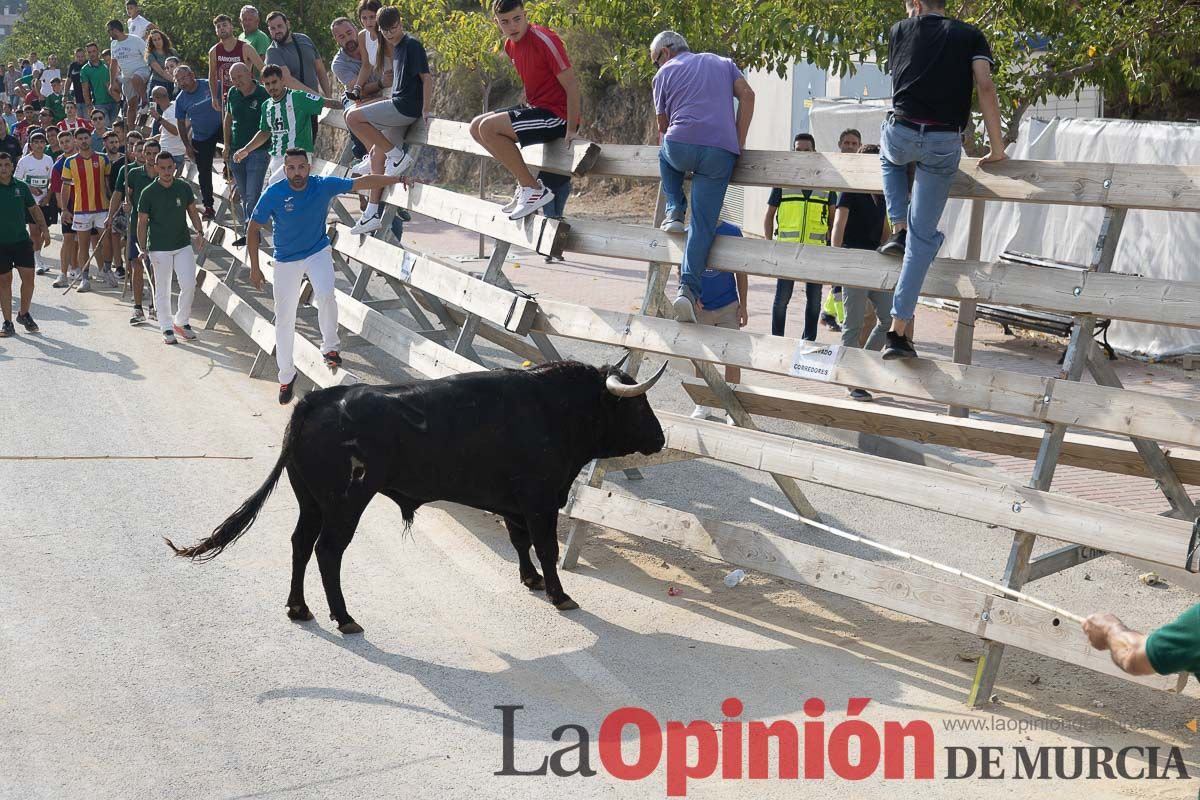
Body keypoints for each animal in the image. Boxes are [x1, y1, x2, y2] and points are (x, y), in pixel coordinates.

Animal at [168, 362, 672, 633]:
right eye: (636, 403)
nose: (661, 438)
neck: (554, 409)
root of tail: (317, 400)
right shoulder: (541, 500)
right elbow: (545, 547)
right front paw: (559, 594)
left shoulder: (515, 504)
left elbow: (520, 542)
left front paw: (529, 580)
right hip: (346, 503)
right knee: (328, 551)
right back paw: (344, 617)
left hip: (311, 501)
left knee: (299, 544)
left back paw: (299, 608)